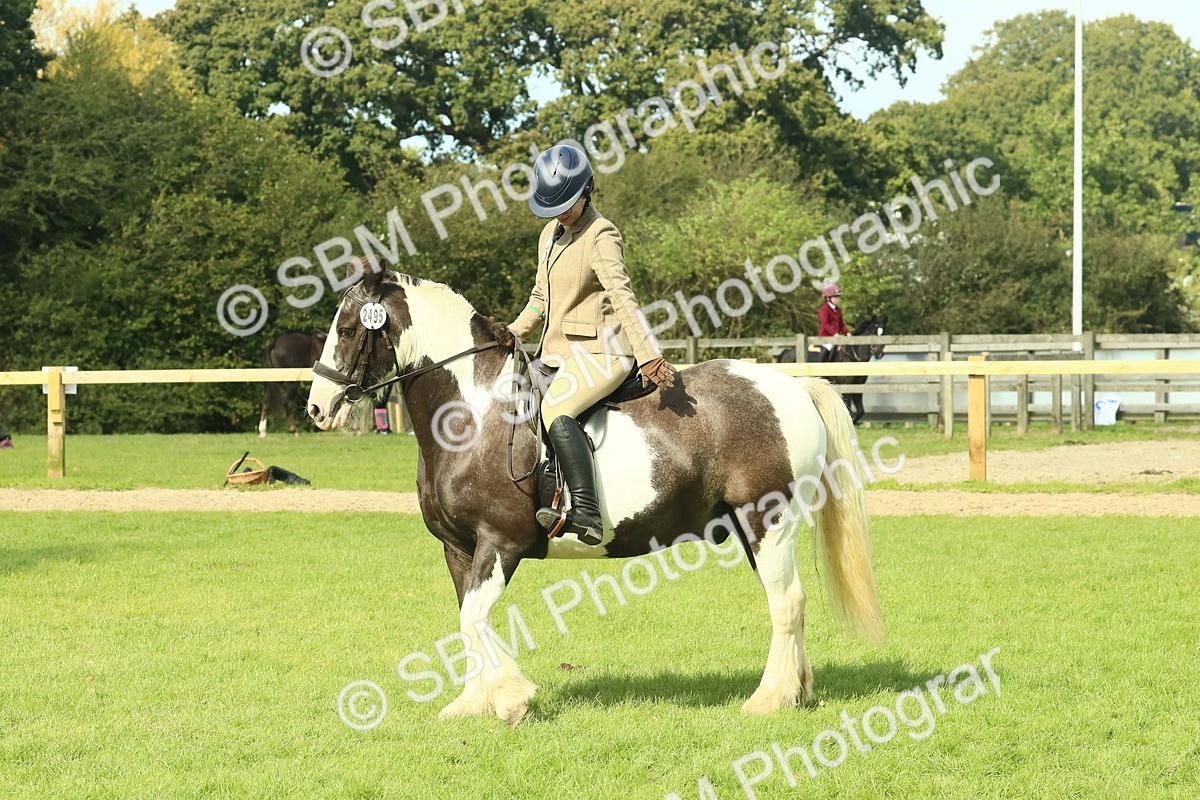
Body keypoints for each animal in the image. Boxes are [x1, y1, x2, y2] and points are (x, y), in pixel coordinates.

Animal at [306, 268, 882, 726]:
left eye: (350, 328)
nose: (316, 408)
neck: (473, 412)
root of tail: (792, 385)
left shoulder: (501, 543)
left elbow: (473, 619)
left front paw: (512, 699)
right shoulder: (459, 548)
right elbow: (467, 622)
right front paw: (473, 703)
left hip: (769, 521)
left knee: (787, 602)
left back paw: (769, 699)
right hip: (751, 529)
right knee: (787, 600)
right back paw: (797, 693)